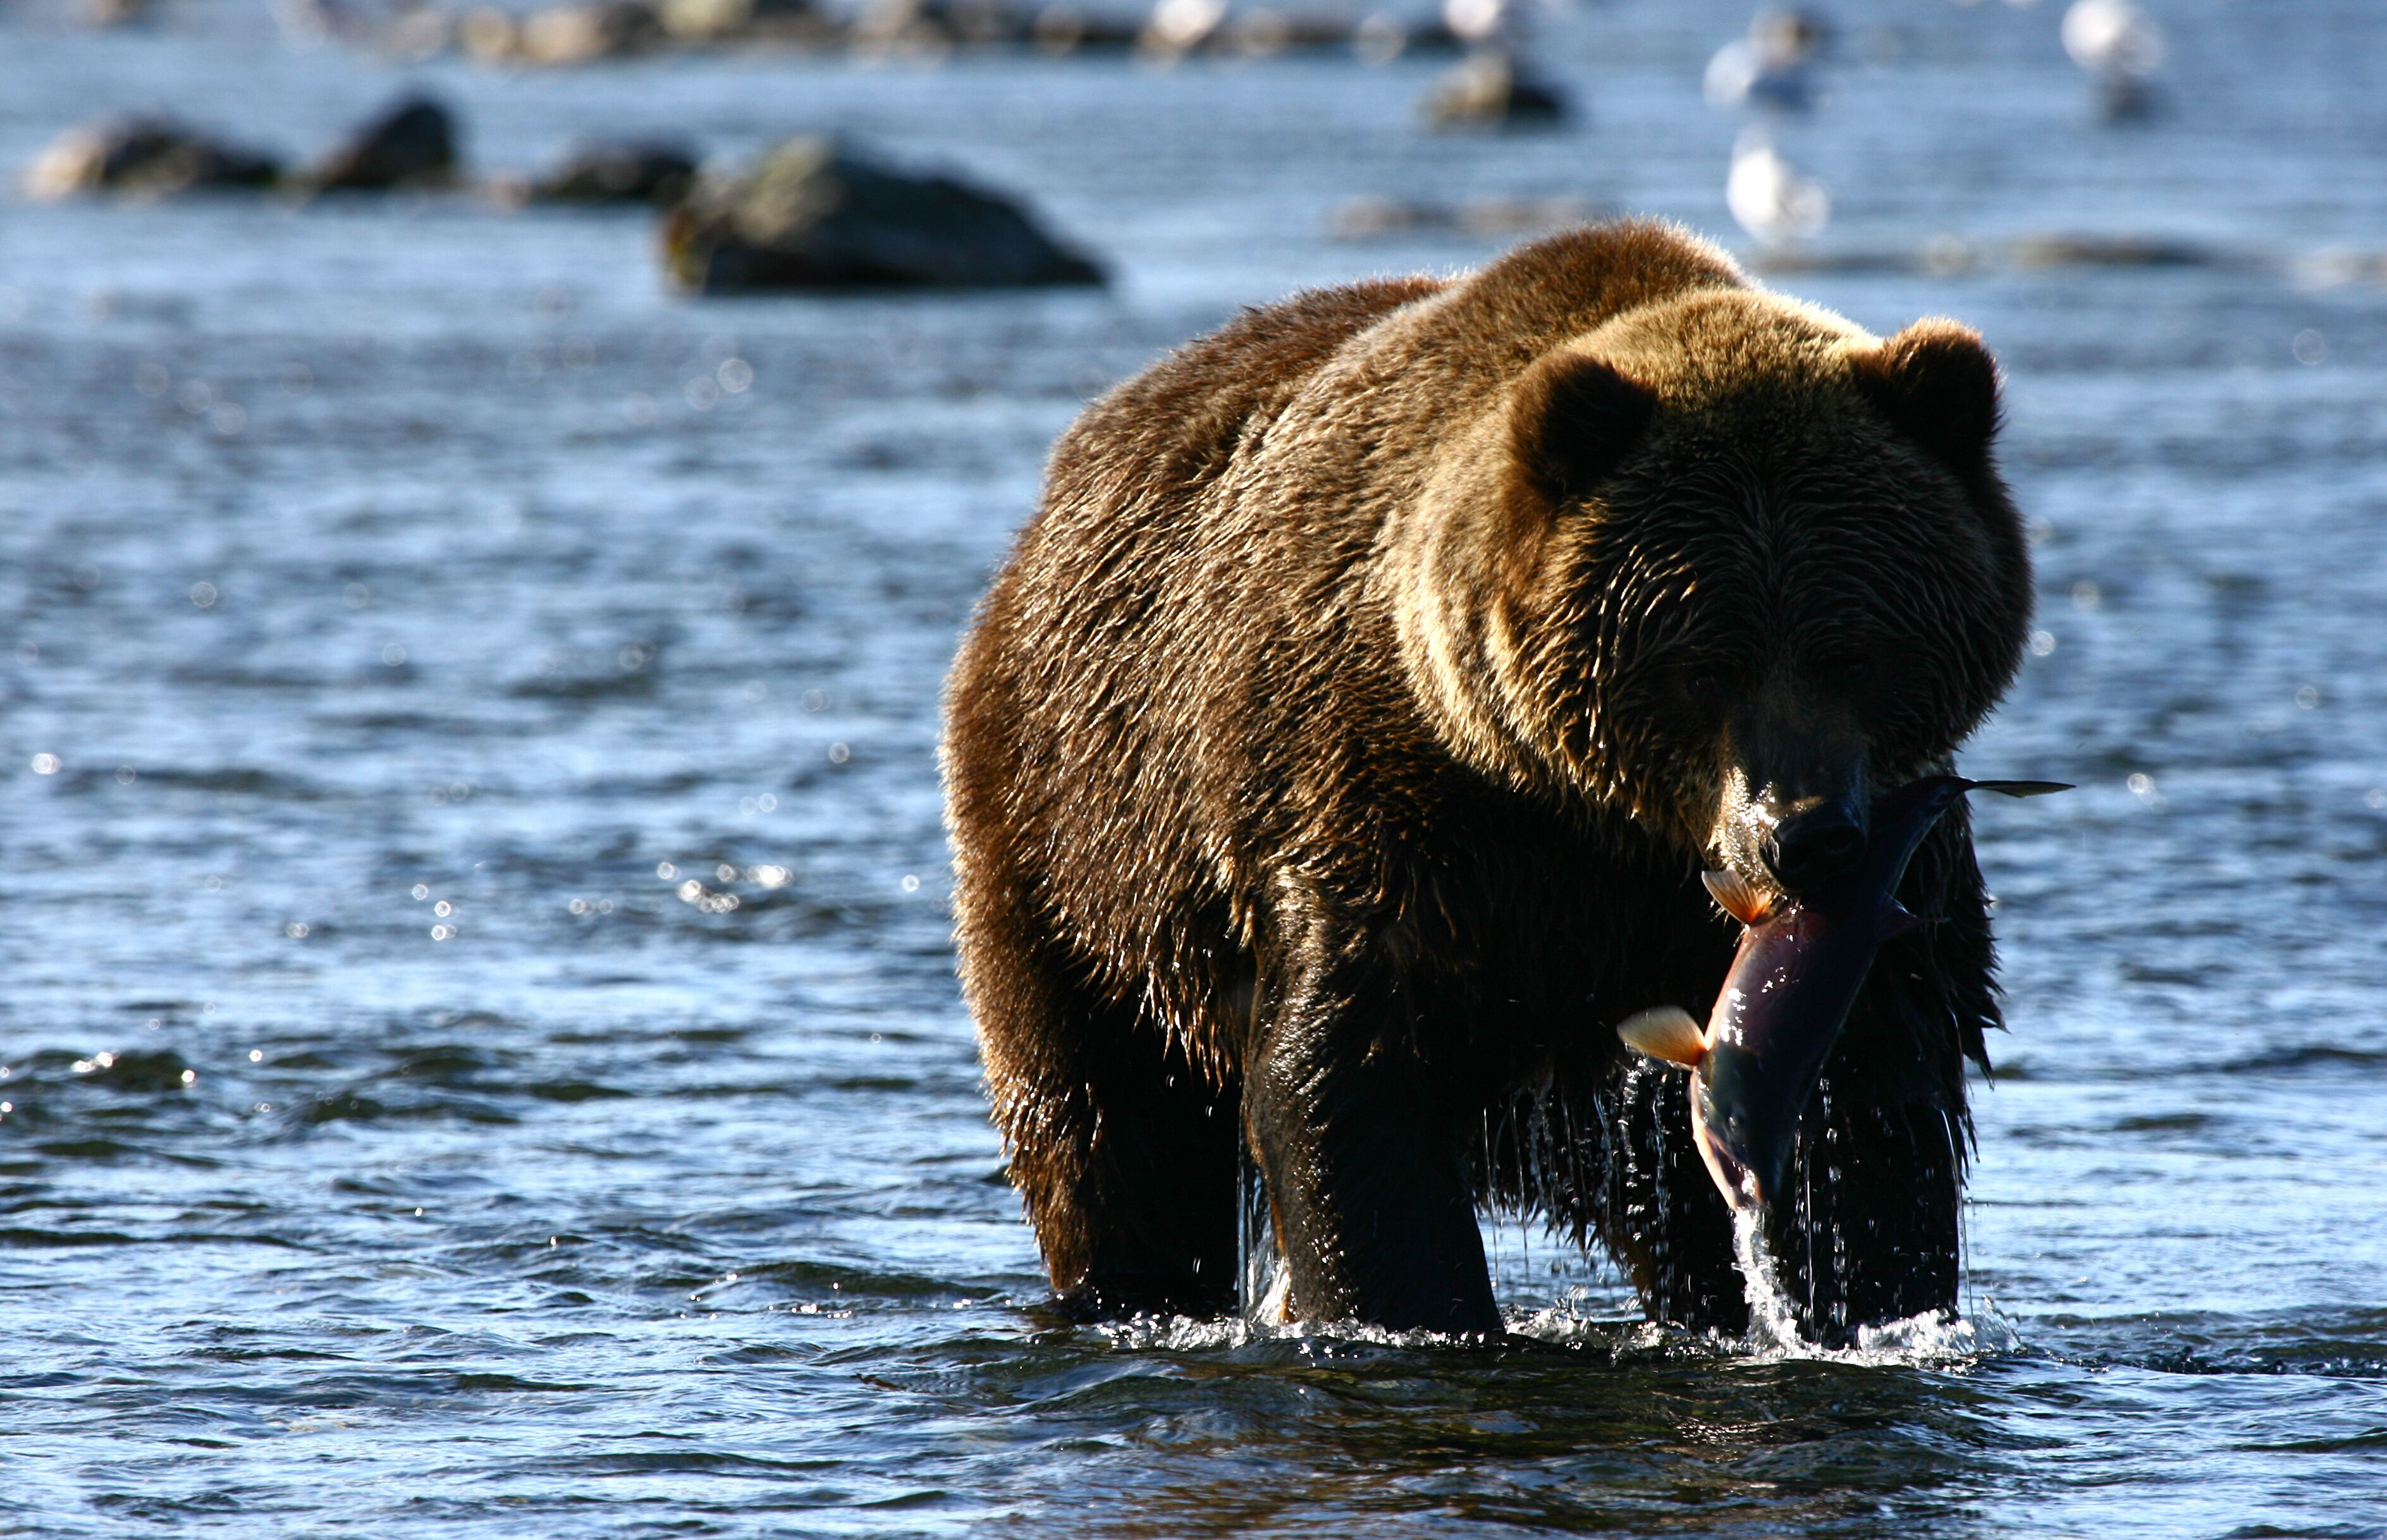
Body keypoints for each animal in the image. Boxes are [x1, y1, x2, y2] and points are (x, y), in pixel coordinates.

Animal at [941, 221, 2032, 1340]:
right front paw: (1412, 1307)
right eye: (1704, 666)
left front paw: (1858, 1302)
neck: (1594, 821)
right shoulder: (1386, 820)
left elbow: (1868, 1112)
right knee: (1104, 1128)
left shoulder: (1880, 882)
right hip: (1078, 839)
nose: (1803, 837)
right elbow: (1345, 1079)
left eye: (1851, 653)